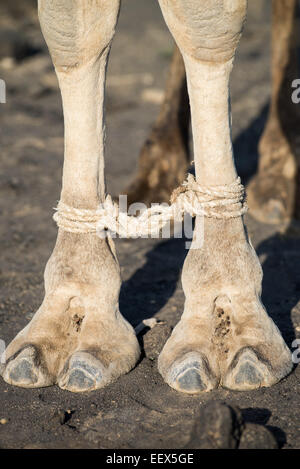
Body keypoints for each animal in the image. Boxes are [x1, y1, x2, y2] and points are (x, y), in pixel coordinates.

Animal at [0, 1, 292, 394]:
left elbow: (204, 28)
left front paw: (227, 313)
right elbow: (74, 38)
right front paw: (70, 315)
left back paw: (278, 175)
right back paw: (158, 167)